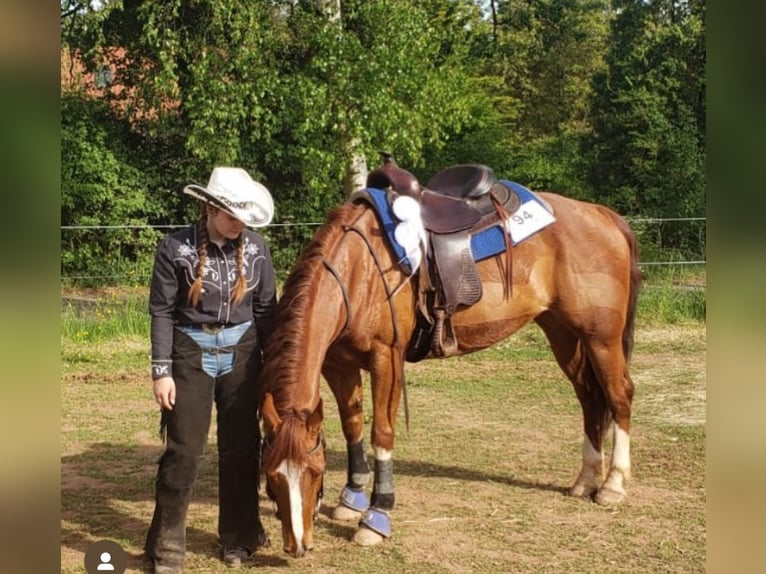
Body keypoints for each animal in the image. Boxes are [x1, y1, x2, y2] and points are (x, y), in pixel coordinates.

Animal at [258, 159, 640, 560]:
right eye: (271, 477)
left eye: (315, 473)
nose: (297, 546)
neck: (359, 270)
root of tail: (603, 215)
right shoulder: (339, 364)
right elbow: (353, 427)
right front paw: (352, 499)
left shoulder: (386, 358)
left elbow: (382, 434)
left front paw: (376, 516)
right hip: (563, 333)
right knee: (590, 398)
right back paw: (585, 479)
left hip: (602, 338)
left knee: (619, 395)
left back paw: (612, 484)